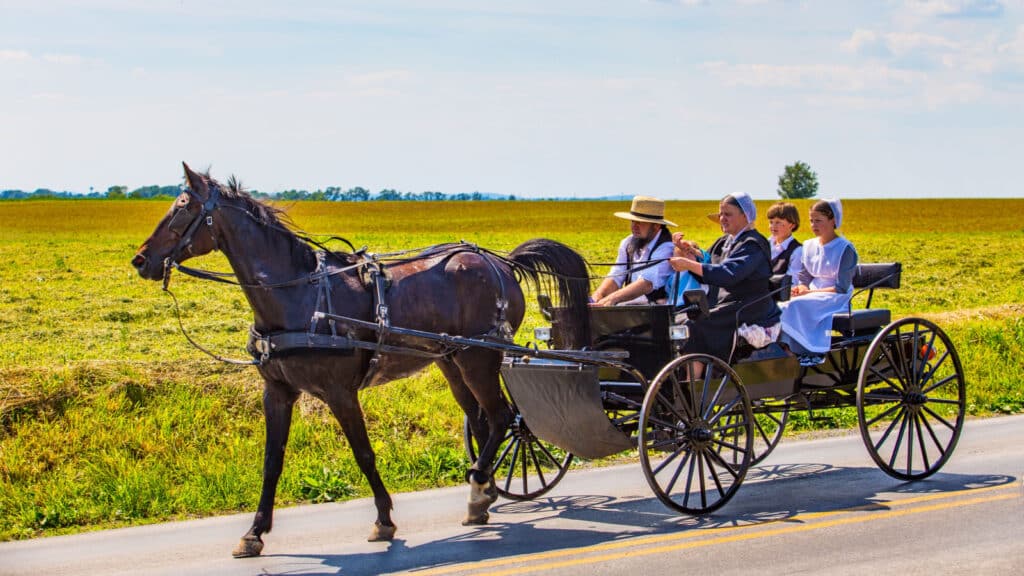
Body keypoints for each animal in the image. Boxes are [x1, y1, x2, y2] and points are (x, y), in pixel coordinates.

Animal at [131, 163, 591, 558]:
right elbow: (271, 462)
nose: (140, 259)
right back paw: (483, 494)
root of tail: (500, 261)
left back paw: (480, 486)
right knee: (481, 421)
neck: (298, 296)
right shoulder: (277, 392)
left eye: (182, 208)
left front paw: (384, 520)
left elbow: (363, 454)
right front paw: (254, 532)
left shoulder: (339, 392)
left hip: (480, 356)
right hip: (452, 360)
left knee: (502, 418)